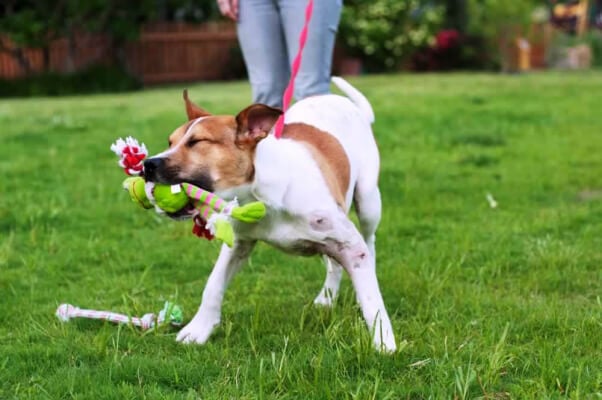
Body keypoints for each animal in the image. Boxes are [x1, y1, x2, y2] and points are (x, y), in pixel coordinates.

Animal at [144, 76, 396, 352]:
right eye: (170, 142)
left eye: (197, 142)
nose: (147, 164)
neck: (260, 195)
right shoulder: (238, 242)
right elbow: (213, 283)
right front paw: (199, 329)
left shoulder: (350, 244)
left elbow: (372, 299)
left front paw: (384, 341)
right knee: (333, 263)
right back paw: (326, 297)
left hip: (368, 200)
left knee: (369, 241)